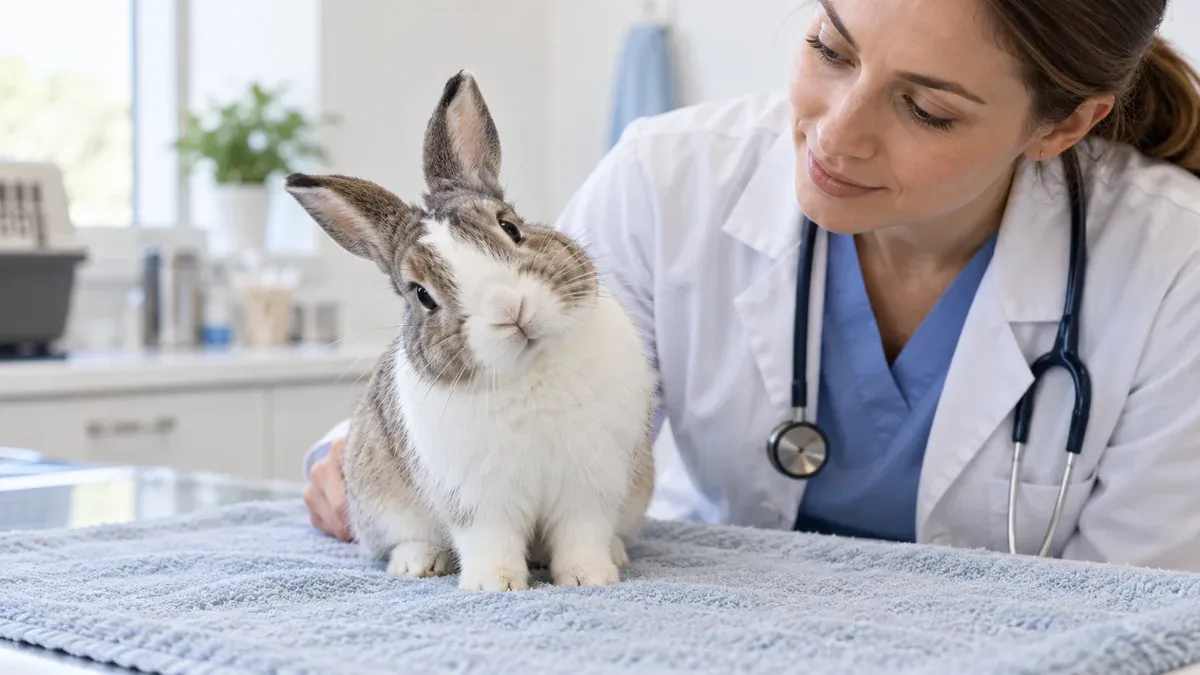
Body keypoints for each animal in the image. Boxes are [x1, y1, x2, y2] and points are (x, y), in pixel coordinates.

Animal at [283, 70, 657, 592]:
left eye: (511, 227)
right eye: (421, 294)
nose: (508, 307)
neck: (530, 369)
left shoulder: (589, 485)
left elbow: (581, 534)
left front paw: (589, 579)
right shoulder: (477, 498)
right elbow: (490, 540)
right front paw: (493, 585)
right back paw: (418, 562)